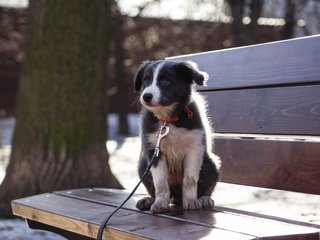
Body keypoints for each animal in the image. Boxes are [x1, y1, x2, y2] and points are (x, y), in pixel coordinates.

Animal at [133, 60, 220, 214]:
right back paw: (149, 200)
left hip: (210, 163)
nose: (146, 96)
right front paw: (160, 203)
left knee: (206, 187)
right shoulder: (154, 150)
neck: (168, 120)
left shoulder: (195, 148)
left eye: (165, 82)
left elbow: (190, 179)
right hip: (143, 166)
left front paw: (191, 201)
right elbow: (160, 182)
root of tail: (176, 197)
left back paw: (204, 199)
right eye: (146, 80)